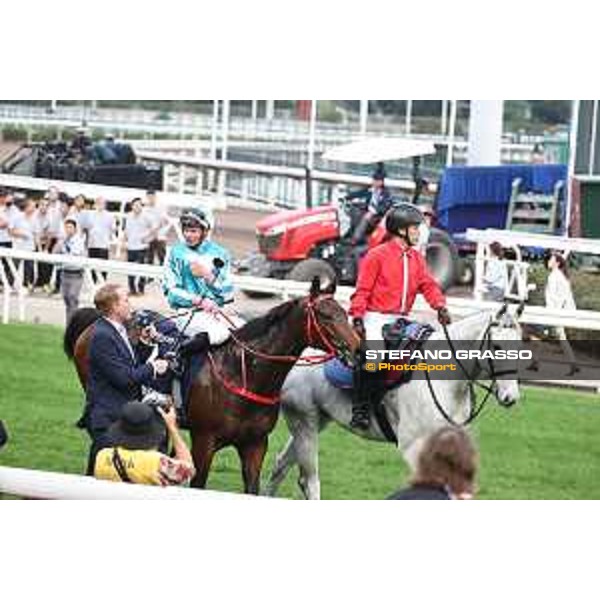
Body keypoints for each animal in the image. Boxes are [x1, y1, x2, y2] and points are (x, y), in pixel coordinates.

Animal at [63, 278, 358, 494]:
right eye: (324, 314)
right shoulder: (205, 442)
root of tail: (95, 320)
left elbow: (251, 488)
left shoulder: (255, 445)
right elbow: (198, 484)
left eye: (344, 313)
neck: (243, 375)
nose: (357, 348)